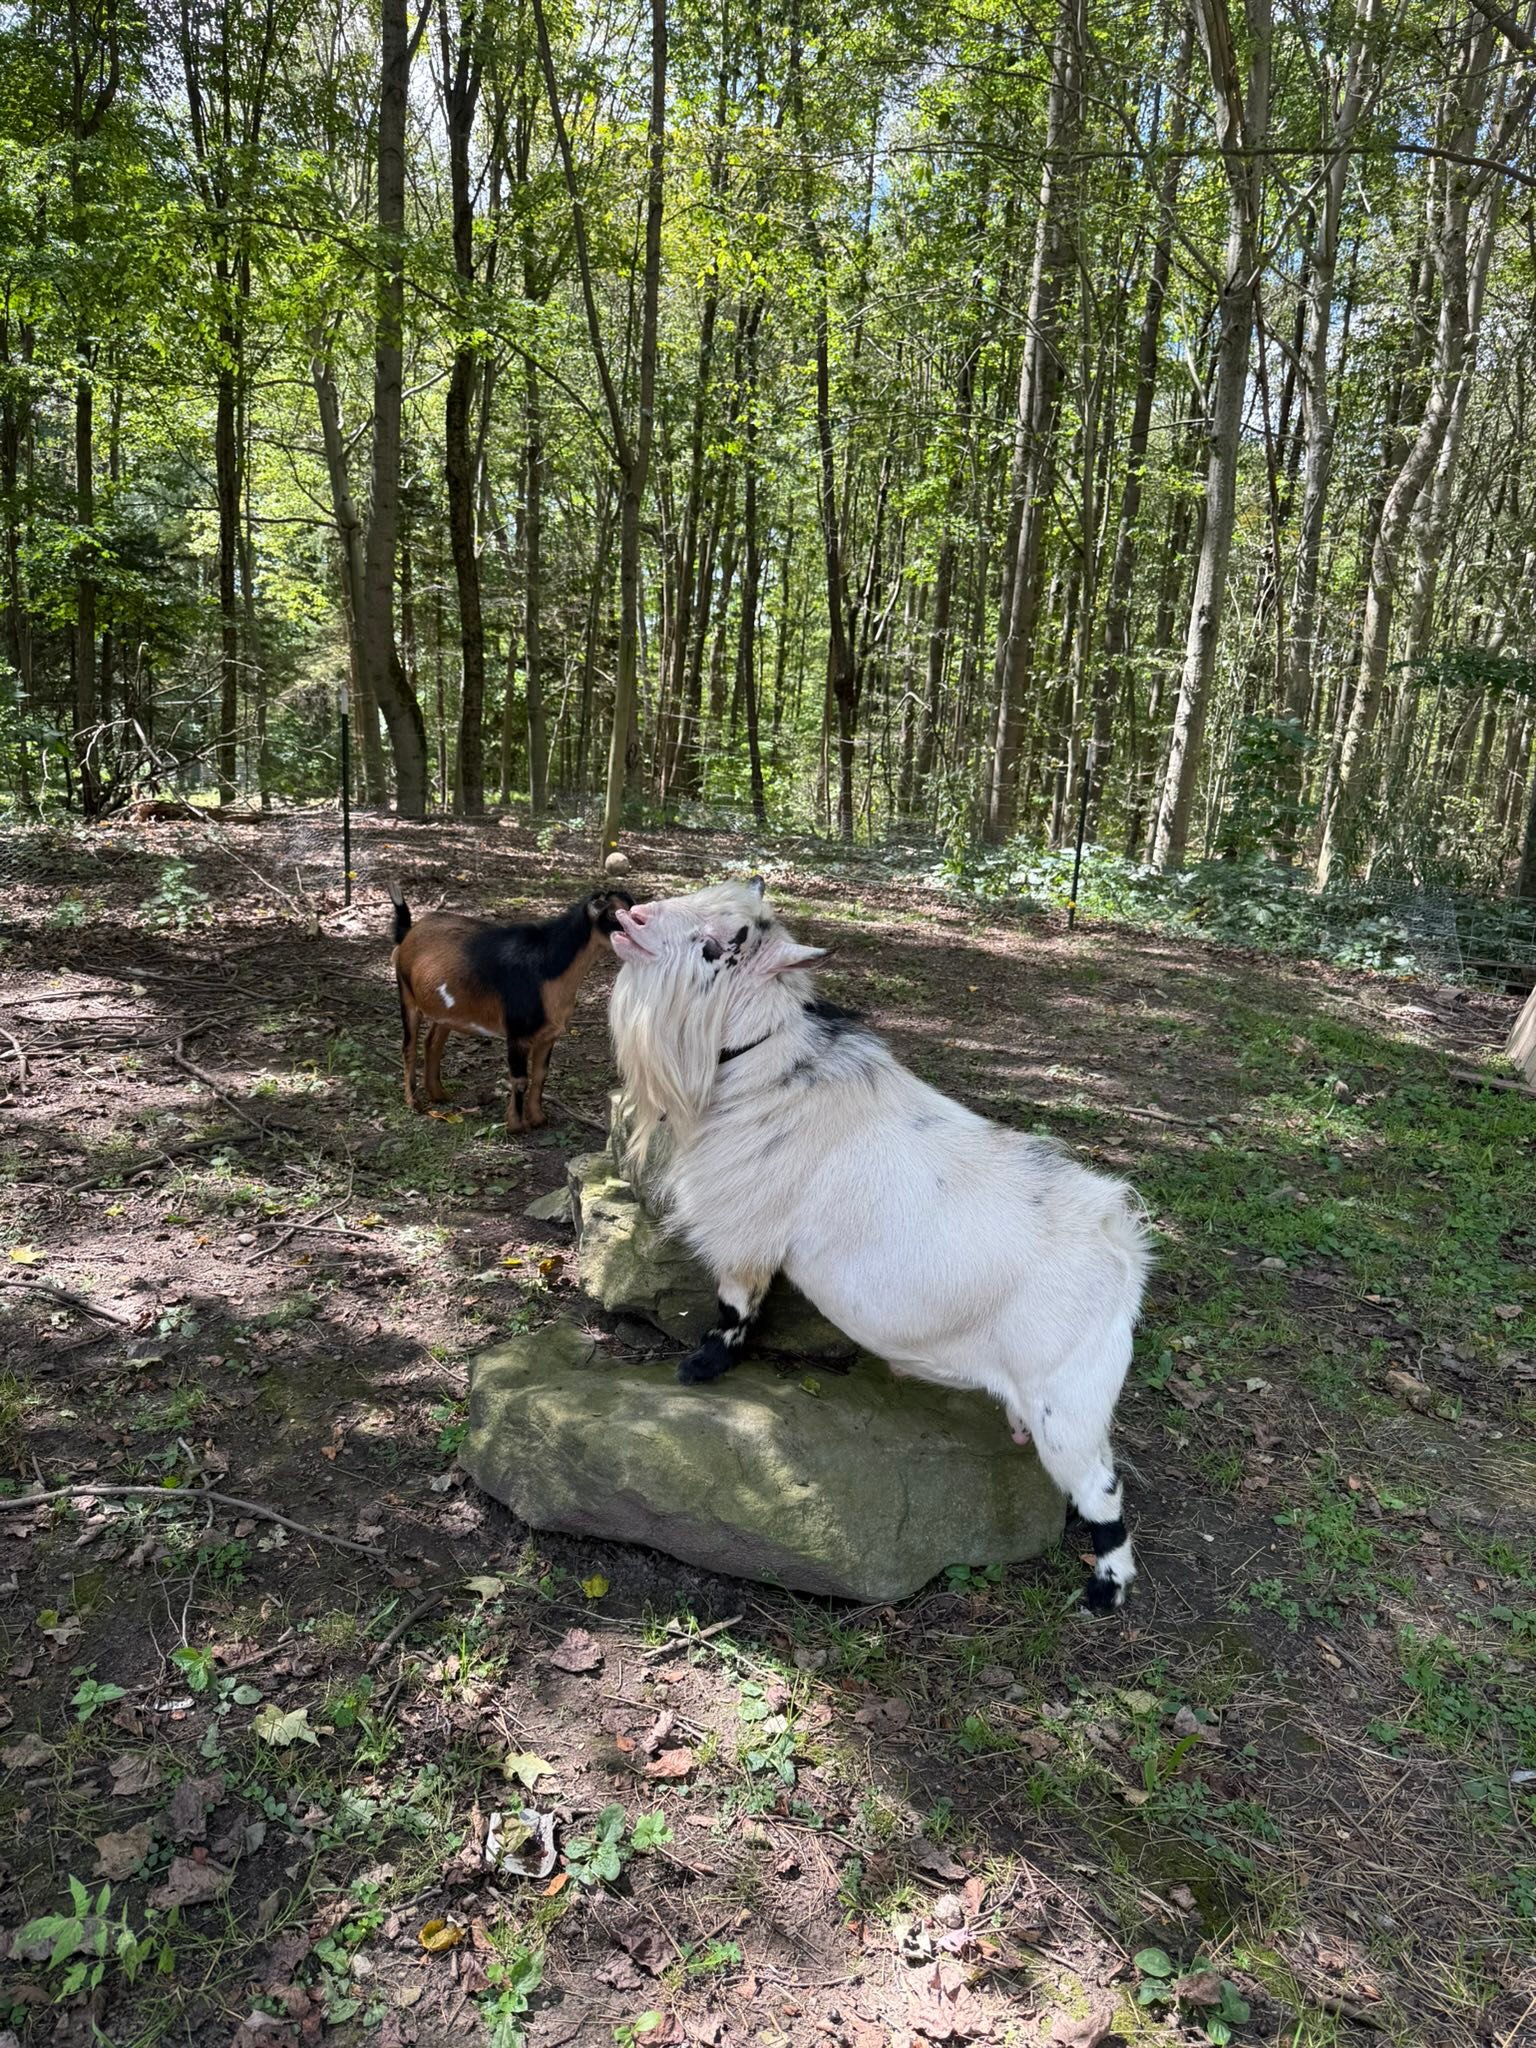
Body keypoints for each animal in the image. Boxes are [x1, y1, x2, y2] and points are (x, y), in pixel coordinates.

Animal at [390, 884, 633, 1132]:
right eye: (612, 913)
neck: (548, 967)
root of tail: (409, 932)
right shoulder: (518, 1033)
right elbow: (520, 1079)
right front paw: (516, 1125)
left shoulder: (548, 1035)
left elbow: (540, 1075)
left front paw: (538, 1119)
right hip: (407, 994)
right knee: (409, 1046)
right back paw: (414, 1102)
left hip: (445, 1012)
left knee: (432, 1042)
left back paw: (439, 1094)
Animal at [607, 879, 1152, 1613]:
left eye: (715, 946)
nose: (630, 916)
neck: (768, 1065)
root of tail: (1119, 1249)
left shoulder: (748, 1229)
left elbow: (735, 1306)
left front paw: (702, 1367)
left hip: (1067, 1401)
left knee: (1103, 1489)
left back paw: (1104, 1590)